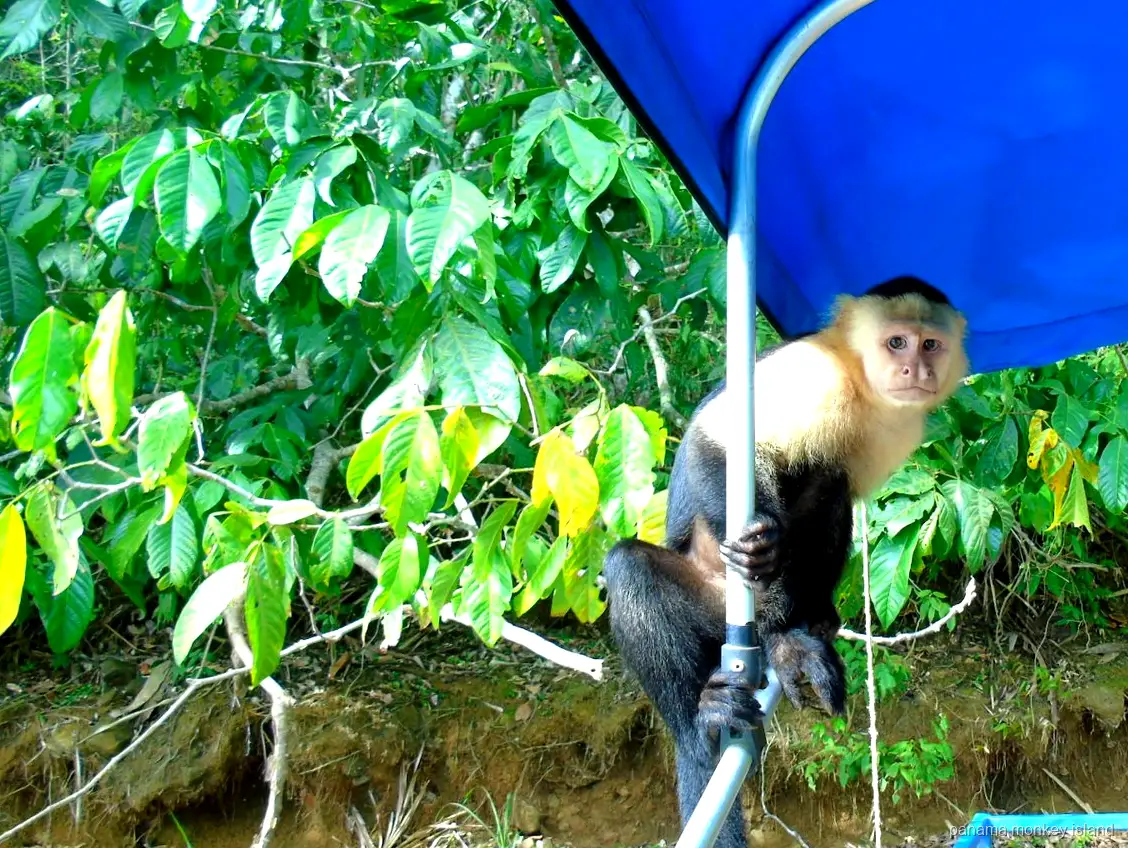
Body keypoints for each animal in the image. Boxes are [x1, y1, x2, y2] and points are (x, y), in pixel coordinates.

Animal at [601, 276, 967, 848]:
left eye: (931, 345)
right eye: (897, 343)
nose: (916, 370)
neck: (861, 388)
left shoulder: (900, 430)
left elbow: (845, 494)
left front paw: (804, 621)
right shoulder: (814, 372)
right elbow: (719, 438)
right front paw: (762, 554)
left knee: (830, 482)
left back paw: (791, 632)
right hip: (712, 601)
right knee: (631, 569)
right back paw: (707, 716)